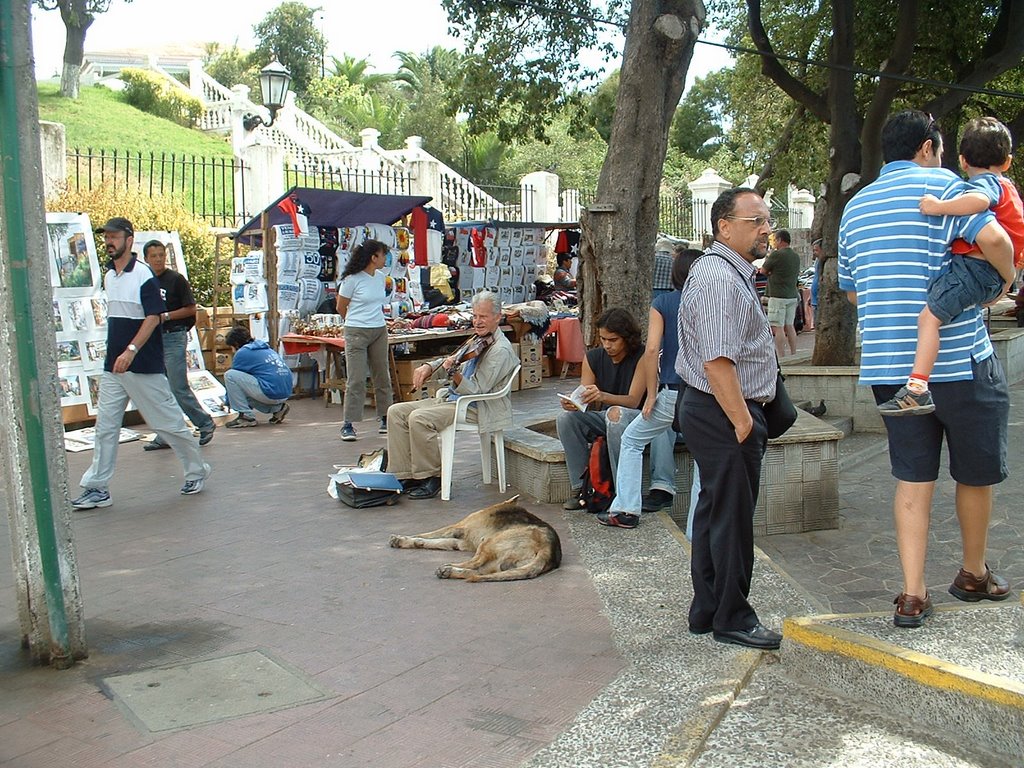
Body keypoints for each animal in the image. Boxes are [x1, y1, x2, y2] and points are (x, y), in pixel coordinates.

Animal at [385, 499, 561, 581]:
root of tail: (549, 548)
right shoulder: (459, 542)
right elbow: (430, 540)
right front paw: (407, 541)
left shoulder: (457, 528)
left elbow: (427, 534)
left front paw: (403, 538)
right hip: (496, 561)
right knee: (478, 571)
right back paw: (449, 572)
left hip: (488, 542)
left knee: (473, 564)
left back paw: (448, 568)